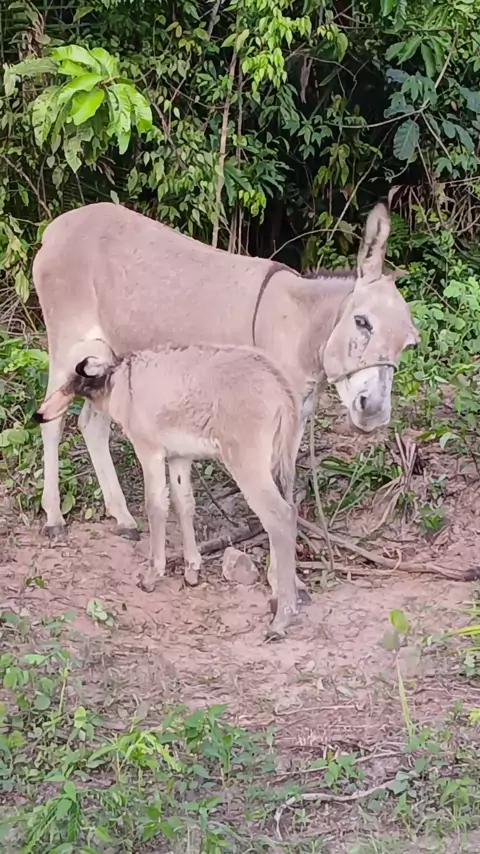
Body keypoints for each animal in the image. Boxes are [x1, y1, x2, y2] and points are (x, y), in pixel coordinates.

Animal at [34, 339, 303, 638]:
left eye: (76, 379)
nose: (39, 414)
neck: (122, 382)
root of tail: (280, 387)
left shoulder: (149, 451)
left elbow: (156, 506)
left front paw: (152, 575)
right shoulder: (179, 458)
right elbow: (183, 504)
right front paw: (191, 570)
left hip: (247, 465)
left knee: (280, 517)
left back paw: (282, 617)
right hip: (282, 465)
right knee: (288, 513)